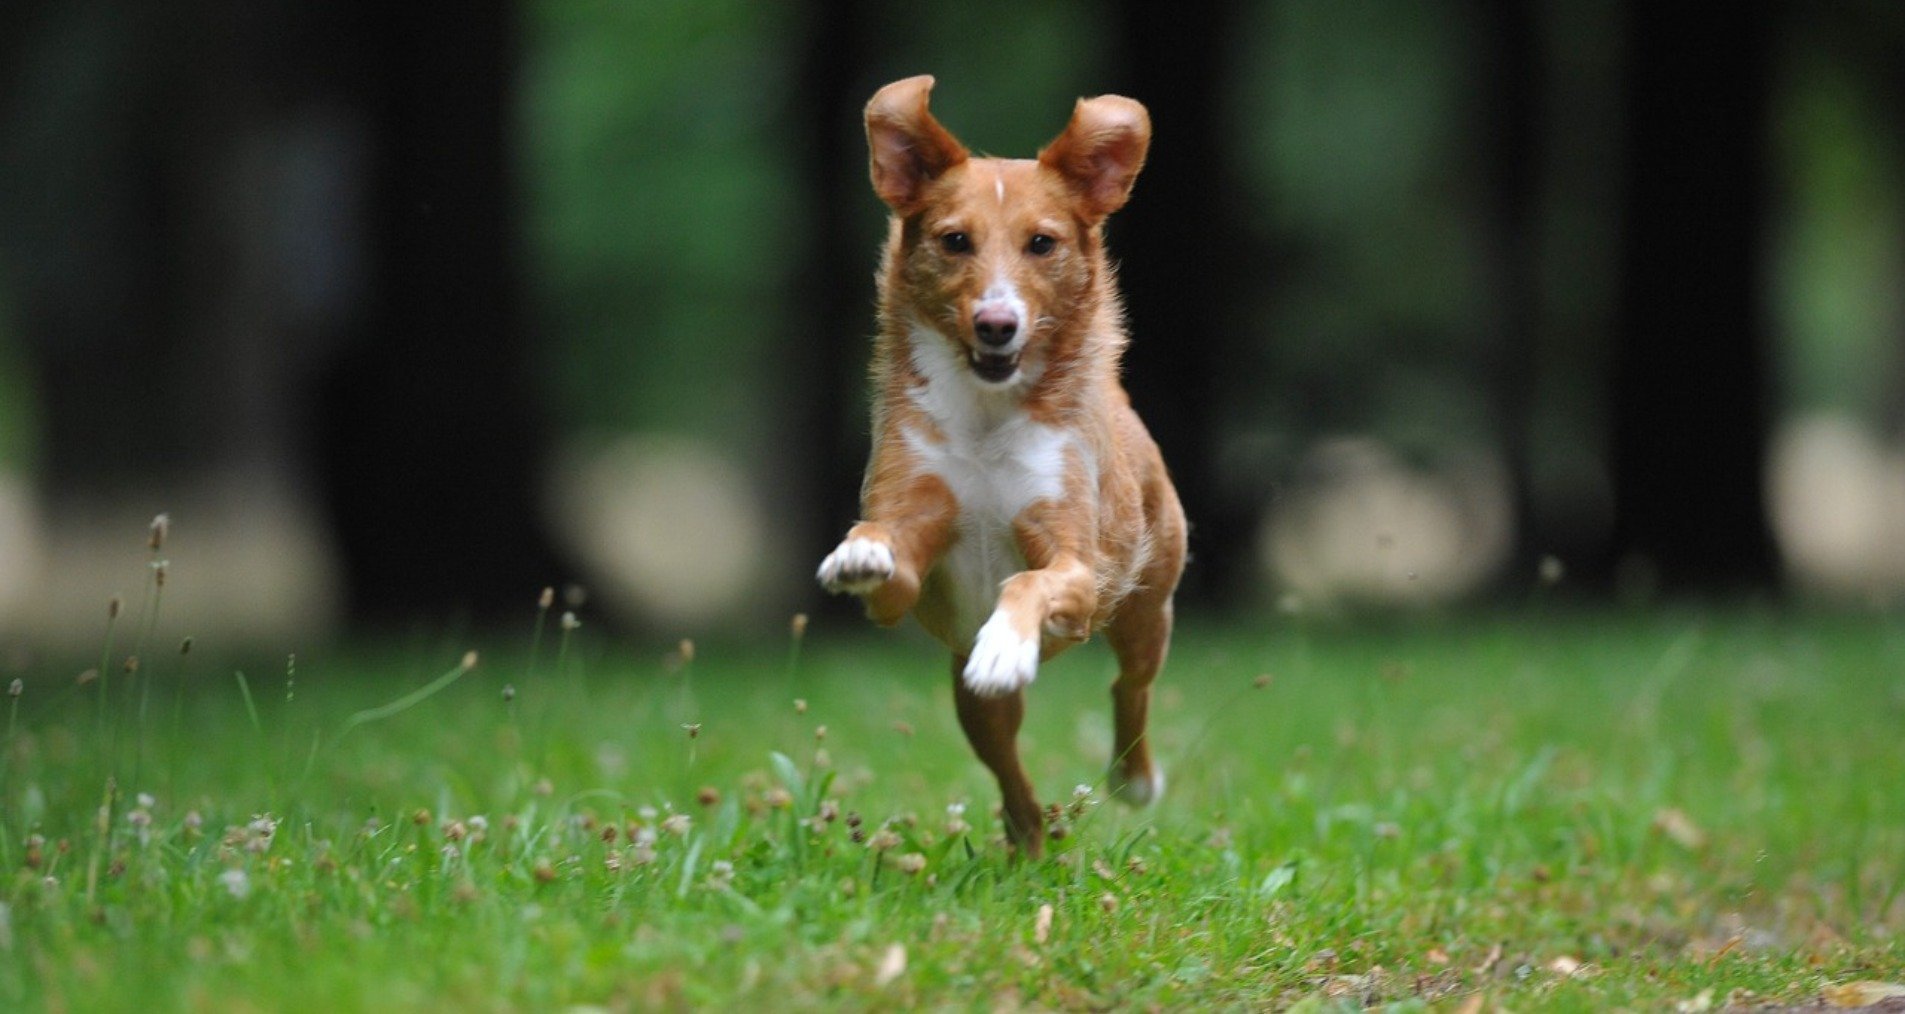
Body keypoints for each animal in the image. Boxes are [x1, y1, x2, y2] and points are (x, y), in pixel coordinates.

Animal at [819, 75, 1188, 857]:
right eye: (954, 240)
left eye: (1041, 243)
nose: (997, 324)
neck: (988, 420)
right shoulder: (909, 549)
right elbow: (885, 553)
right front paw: (860, 551)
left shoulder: (1076, 564)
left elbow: (1029, 580)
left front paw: (1005, 643)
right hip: (973, 706)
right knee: (1008, 766)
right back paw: (1028, 839)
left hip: (1145, 605)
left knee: (1131, 685)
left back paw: (1132, 778)